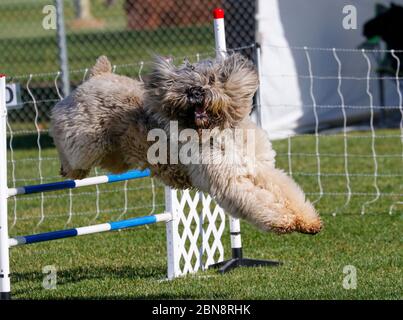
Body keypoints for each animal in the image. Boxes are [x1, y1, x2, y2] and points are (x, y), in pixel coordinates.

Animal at [50, 54, 324, 235]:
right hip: (85, 142)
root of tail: (99, 76)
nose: (195, 92)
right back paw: (66, 169)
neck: (218, 130)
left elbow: (287, 192)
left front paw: (307, 221)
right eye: (183, 83)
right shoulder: (229, 181)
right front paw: (282, 221)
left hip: (114, 154)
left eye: (212, 79)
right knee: (65, 146)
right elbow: (257, 201)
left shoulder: (262, 170)